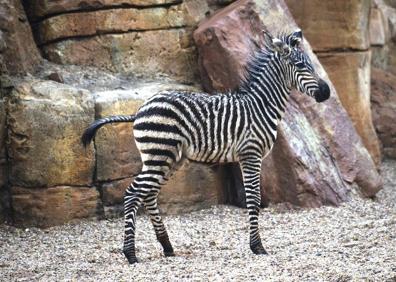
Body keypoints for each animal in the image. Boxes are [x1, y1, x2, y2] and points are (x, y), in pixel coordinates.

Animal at [82, 29, 330, 264]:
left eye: (310, 64)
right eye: (300, 65)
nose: (326, 92)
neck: (260, 106)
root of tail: (141, 109)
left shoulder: (249, 156)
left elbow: (252, 199)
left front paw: (255, 244)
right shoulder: (250, 154)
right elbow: (254, 199)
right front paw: (257, 246)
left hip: (168, 158)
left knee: (149, 193)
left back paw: (167, 247)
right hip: (159, 155)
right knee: (133, 193)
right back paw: (131, 254)